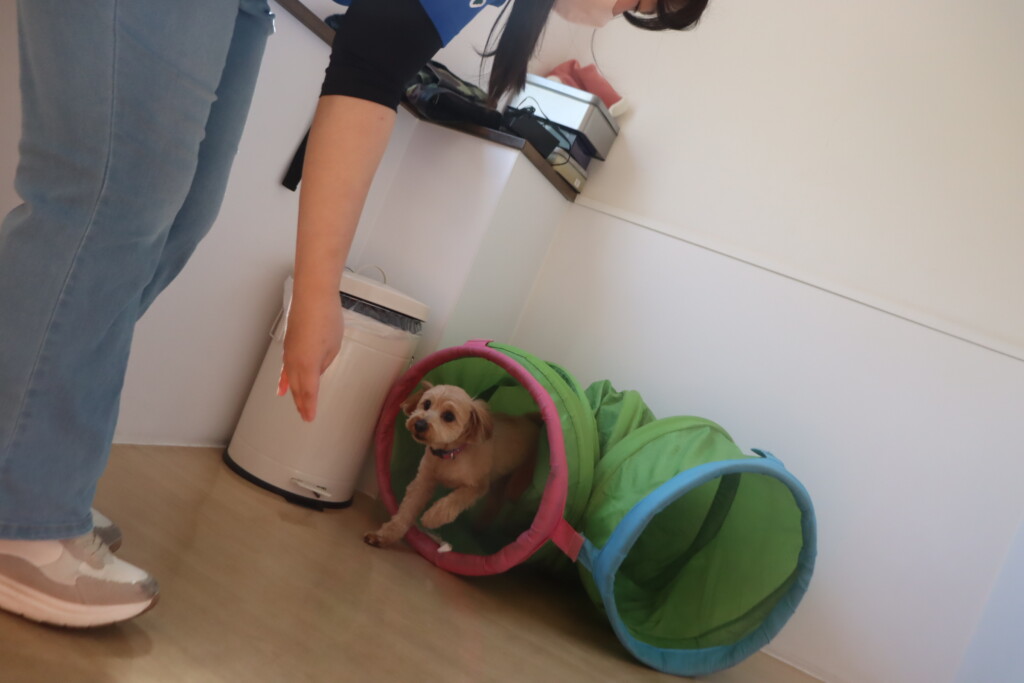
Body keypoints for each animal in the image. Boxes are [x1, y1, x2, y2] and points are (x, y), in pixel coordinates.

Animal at [364, 382, 541, 548]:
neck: (449, 455)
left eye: (449, 416)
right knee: (496, 501)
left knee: (512, 492)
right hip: (500, 479)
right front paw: (384, 536)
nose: (419, 424)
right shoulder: (423, 483)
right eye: (426, 404)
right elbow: (405, 512)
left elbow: (453, 501)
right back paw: (480, 527)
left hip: (520, 475)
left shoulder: (476, 487)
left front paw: (432, 518)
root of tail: (528, 419)